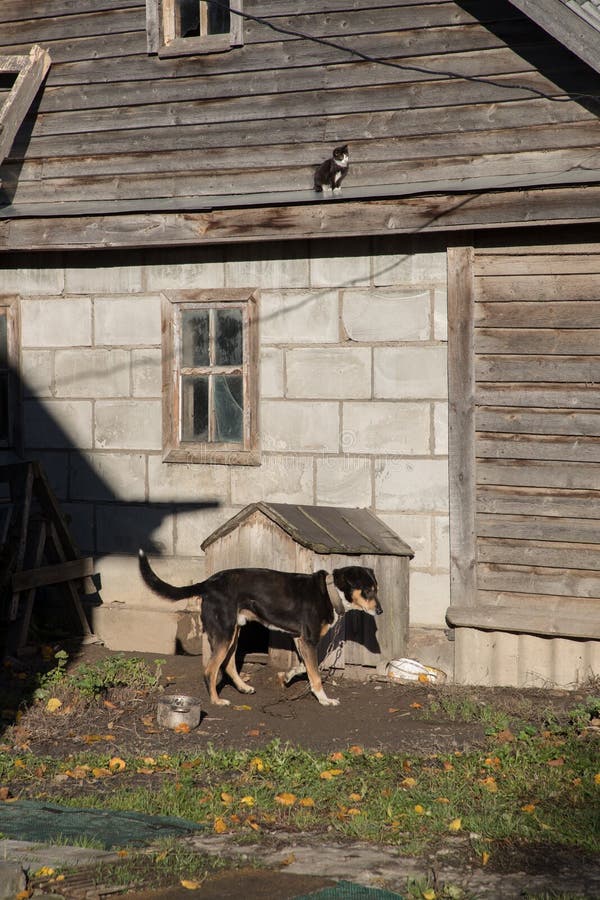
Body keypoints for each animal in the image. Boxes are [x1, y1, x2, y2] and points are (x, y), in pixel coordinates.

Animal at [137, 548, 380, 712]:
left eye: (376, 589)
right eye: (367, 590)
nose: (380, 610)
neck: (330, 593)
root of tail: (208, 583)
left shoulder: (299, 639)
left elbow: (304, 666)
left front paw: (287, 676)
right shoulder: (309, 640)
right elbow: (316, 674)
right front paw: (324, 699)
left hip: (234, 632)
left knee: (228, 664)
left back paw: (243, 688)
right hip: (225, 633)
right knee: (211, 669)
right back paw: (216, 700)